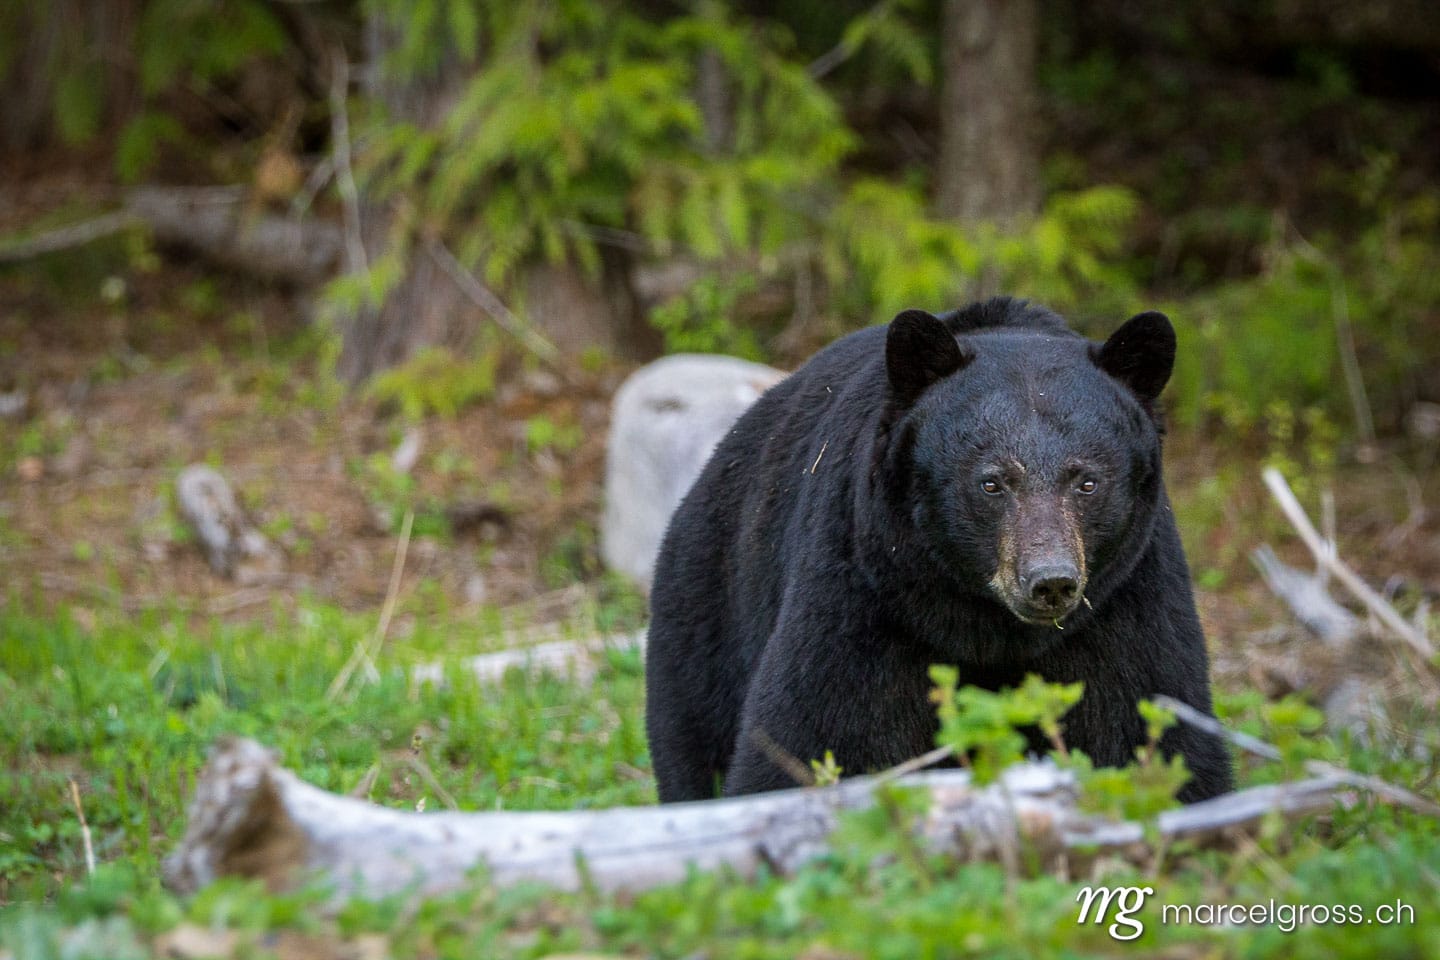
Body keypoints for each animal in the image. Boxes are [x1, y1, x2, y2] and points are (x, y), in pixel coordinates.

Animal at [644, 296, 1234, 804]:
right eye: (992, 482)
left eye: (1087, 482)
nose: (1050, 581)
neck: (990, 629)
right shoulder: (866, 592)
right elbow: (813, 731)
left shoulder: (1124, 602)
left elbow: (1152, 725)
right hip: (709, 606)